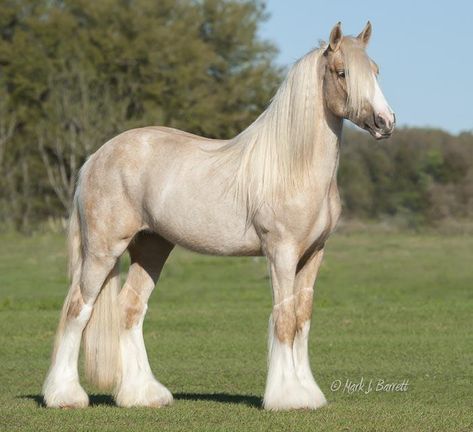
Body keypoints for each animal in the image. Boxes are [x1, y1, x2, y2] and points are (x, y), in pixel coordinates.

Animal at [42, 21, 394, 412]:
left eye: (375, 70)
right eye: (342, 72)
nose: (385, 122)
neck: (293, 167)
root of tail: (95, 158)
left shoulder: (313, 254)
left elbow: (302, 318)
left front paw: (307, 394)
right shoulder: (281, 253)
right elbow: (284, 318)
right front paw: (286, 397)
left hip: (151, 248)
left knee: (129, 309)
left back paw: (143, 394)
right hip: (103, 250)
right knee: (77, 309)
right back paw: (65, 396)